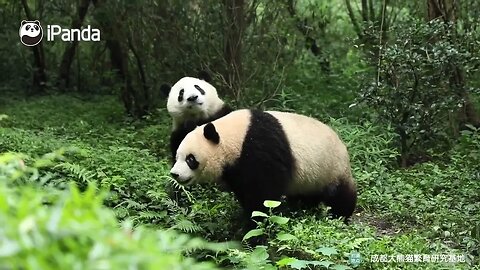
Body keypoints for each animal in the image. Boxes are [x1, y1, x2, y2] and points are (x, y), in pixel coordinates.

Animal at [171, 108, 358, 227]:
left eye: (190, 159)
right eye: (177, 156)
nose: (175, 174)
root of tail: (342, 144)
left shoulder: (261, 147)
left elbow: (263, 192)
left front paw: (253, 223)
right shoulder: (237, 167)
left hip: (330, 167)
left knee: (340, 195)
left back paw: (340, 217)